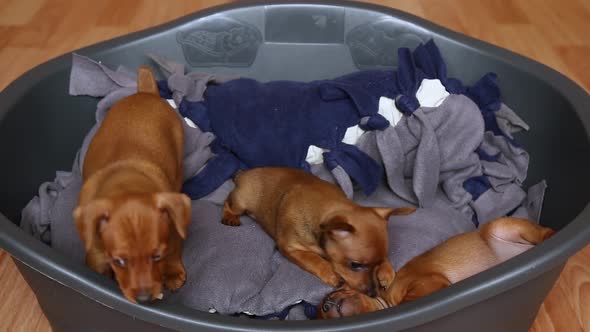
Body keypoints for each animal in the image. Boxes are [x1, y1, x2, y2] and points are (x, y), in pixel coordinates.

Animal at [71, 67, 192, 304]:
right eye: (119, 261)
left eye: (156, 256)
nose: (144, 299)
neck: (126, 181)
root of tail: (146, 93)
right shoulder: (96, 254)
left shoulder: (173, 229)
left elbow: (174, 249)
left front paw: (172, 272)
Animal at [221, 167, 416, 294]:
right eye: (355, 265)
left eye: (379, 263)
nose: (372, 294)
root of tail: (243, 174)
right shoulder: (291, 248)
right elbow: (313, 259)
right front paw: (331, 273)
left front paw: (387, 270)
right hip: (240, 202)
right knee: (227, 203)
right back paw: (230, 217)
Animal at [320, 217, 556, 318]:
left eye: (333, 293)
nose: (326, 305)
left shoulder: (426, 281)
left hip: (498, 226)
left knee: (546, 231)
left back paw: (550, 238)